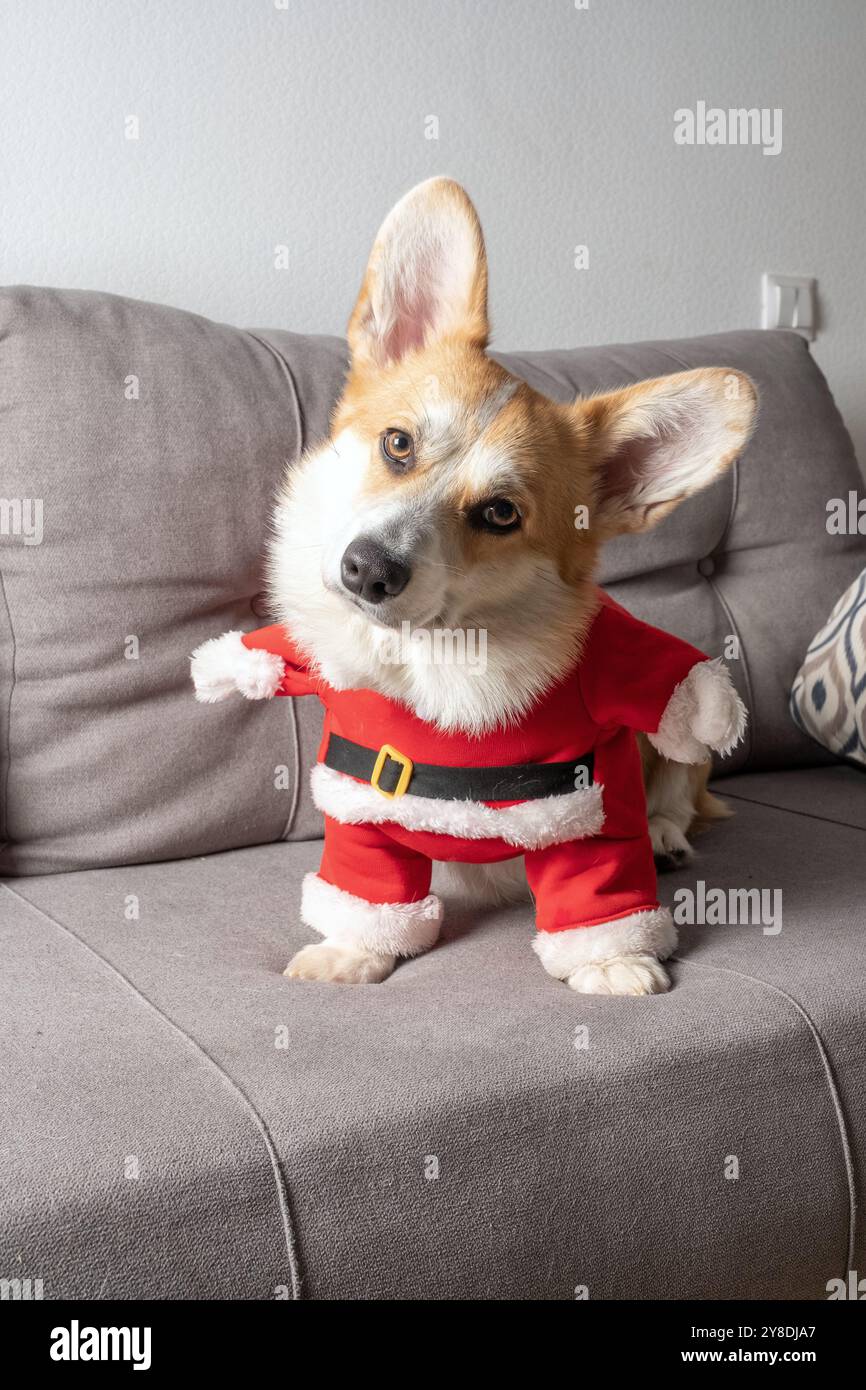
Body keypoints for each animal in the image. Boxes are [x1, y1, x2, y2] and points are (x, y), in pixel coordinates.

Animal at [187, 179, 750, 995]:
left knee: (685, 787)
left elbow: (600, 895)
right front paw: (352, 951)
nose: (367, 568)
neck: (431, 670)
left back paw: (668, 837)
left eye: (500, 513)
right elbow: (367, 890)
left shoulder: (594, 799)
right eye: (398, 444)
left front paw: (613, 961)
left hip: (681, 731)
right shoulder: (360, 809)